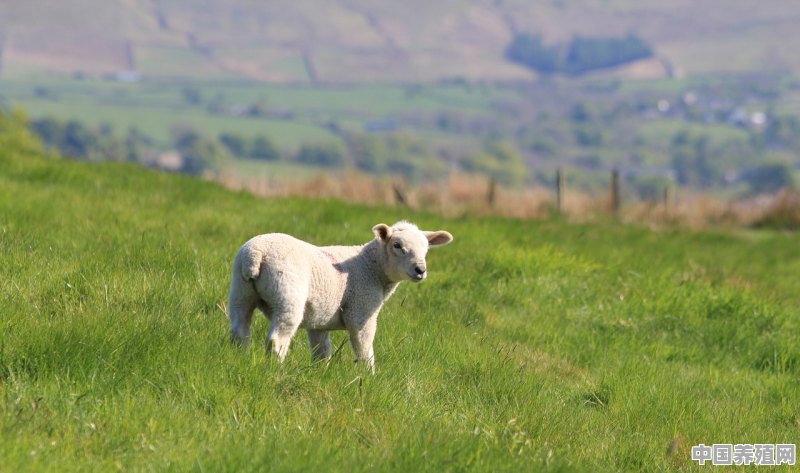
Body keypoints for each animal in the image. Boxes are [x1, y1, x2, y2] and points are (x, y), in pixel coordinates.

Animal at [225, 219, 454, 370]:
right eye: (397, 245)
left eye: (426, 248)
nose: (420, 270)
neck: (371, 266)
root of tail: (255, 255)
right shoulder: (361, 311)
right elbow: (364, 349)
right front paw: (368, 378)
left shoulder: (318, 319)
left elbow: (322, 350)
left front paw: (319, 373)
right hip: (287, 295)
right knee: (276, 340)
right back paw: (276, 370)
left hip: (240, 291)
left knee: (239, 331)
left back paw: (240, 359)